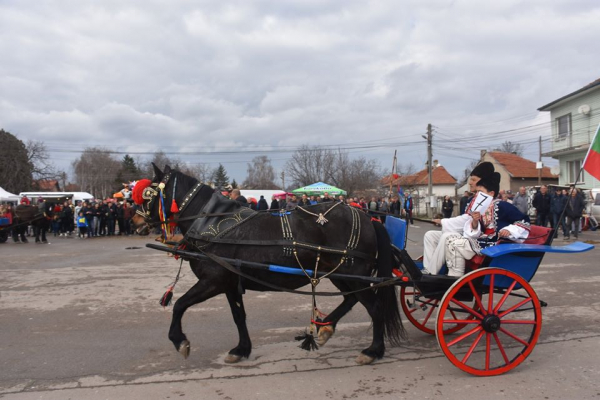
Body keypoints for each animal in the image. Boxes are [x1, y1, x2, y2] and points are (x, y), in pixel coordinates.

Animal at [131, 164, 404, 364]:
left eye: (148, 193)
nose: (135, 221)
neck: (211, 224)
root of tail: (367, 217)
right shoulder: (230, 283)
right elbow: (238, 316)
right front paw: (241, 349)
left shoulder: (213, 280)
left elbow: (179, 305)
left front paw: (180, 341)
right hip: (341, 274)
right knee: (351, 299)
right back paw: (325, 328)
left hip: (351, 272)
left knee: (374, 307)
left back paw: (373, 350)